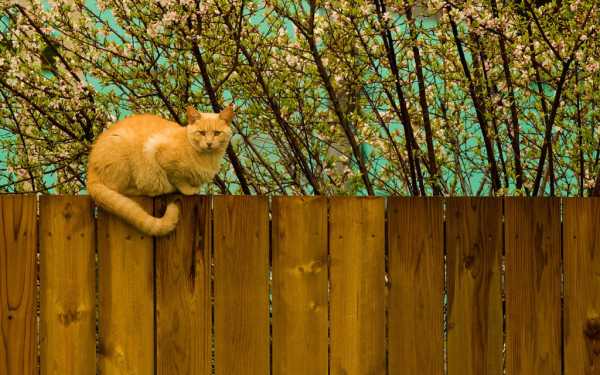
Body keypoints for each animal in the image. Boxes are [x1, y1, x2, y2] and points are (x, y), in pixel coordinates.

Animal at [88, 104, 233, 236]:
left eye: (217, 133)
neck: (208, 159)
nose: (209, 143)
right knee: (121, 189)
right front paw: (188, 190)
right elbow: (177, 179)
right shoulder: (157, 151)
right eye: (202, 133)